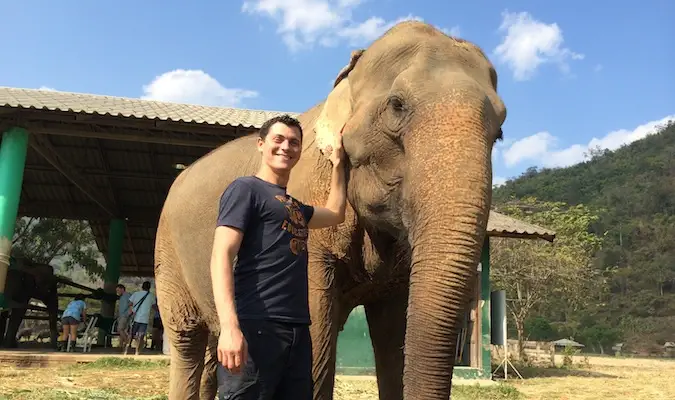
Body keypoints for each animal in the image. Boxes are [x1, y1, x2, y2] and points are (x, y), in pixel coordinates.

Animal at [154, 20, 508, 400]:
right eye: (397, 105)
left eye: (500, 132)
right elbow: (313, 343)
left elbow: (393, 335)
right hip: (168, 253)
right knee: (188, 340)